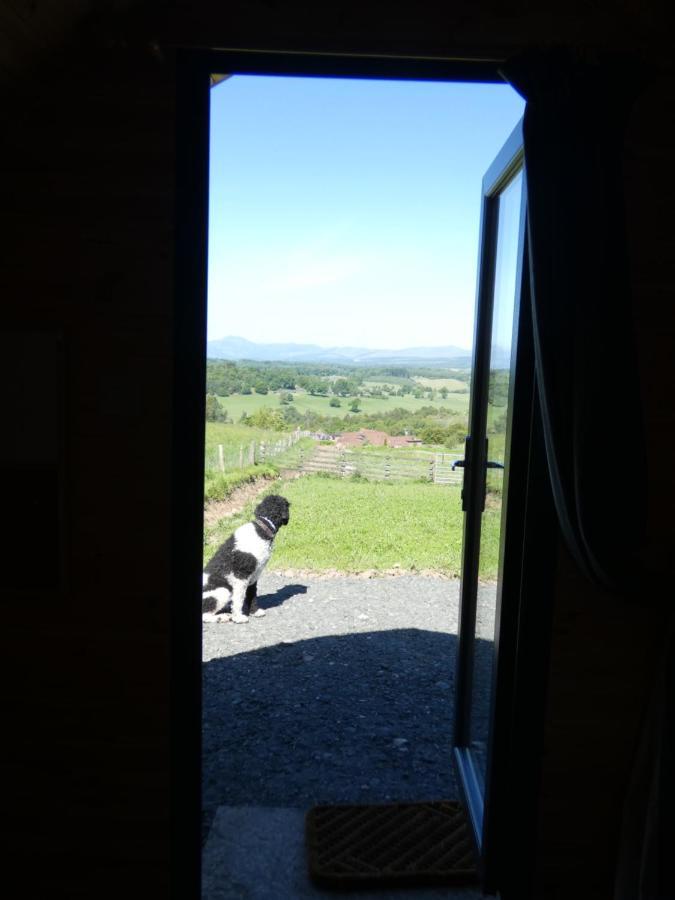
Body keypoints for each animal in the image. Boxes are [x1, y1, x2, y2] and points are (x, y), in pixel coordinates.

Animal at [201, 496, 290, 624]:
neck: (261, 530)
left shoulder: (253, 577)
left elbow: (252, 595)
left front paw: (254, 612)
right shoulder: (240, 576)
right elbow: (239, 599)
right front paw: (238, 617)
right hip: (223, 590)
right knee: (205, 614)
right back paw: (221, 617)